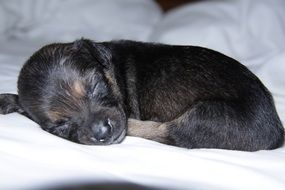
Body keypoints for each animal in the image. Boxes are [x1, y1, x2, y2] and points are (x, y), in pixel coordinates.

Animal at [0, 39, 284, 151]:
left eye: (95, 86)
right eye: (60, 126)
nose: (102, 132)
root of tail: (276, 131)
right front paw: (9, 100)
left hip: (205, 116)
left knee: (163, 131)